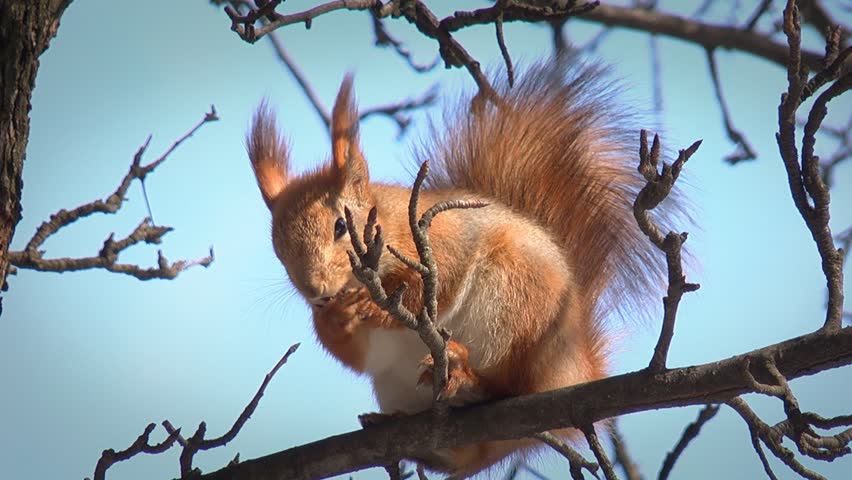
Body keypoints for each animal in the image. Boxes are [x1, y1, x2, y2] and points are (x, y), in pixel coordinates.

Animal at [247, 60, 675, 477]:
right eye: (277, 249)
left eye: (340, 226)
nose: (316, 291)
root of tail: (578, 370)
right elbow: (355, 355)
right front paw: (335, 319)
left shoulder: (446, 240)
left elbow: (439, 285)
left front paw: (373, 308)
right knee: (467, 459)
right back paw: (408, 434)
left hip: (514, 305)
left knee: (507, 386)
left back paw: (463, 373)